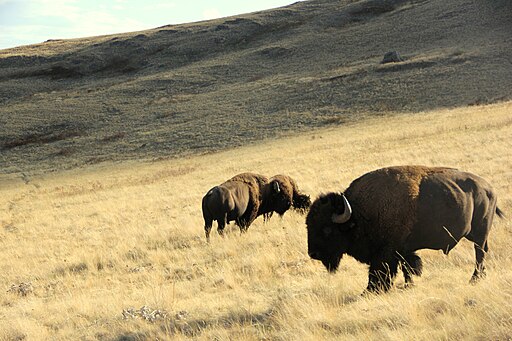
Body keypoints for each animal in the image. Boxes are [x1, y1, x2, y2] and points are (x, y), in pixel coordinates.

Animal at [304, 165, 504, 292]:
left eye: (326, 229)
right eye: (309, 225)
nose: (313, 253)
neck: (359, 213)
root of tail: (489, 188)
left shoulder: (386, 253)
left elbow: (381, 272)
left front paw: (370, 291)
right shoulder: (403, 251)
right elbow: (408, 267)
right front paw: (409, 285)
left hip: (480, 233)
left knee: (479, 253)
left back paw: (474, 279)